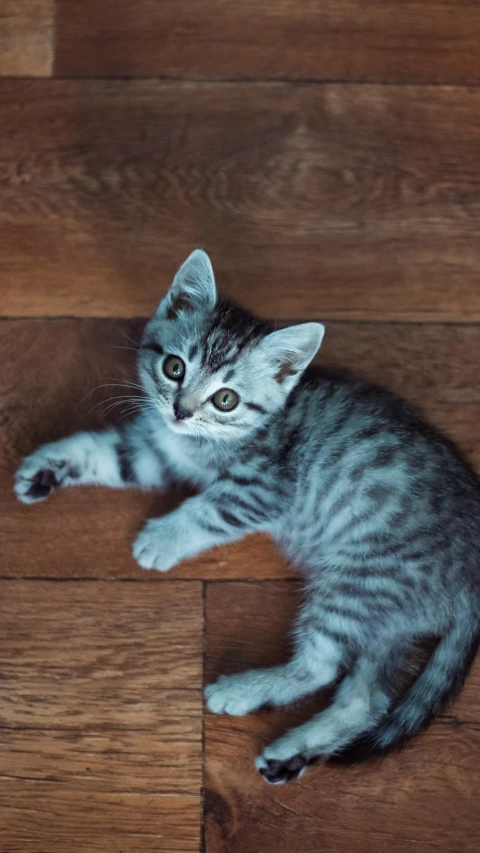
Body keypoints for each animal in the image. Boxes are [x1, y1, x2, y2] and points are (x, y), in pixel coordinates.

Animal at [15, 250, 480, 784]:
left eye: (226, 399)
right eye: (174, 367)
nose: (180, 410)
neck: (209, 438)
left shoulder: (264, 487)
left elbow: (206, 509)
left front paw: (162, 538)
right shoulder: (157, 450)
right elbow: (105, 453)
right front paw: (47, 467)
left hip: (361, 579)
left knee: (323, 666)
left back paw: (242, 692)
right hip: (387, 615)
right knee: (367, 699)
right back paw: (290, 753)